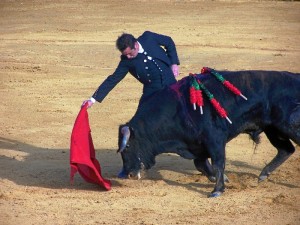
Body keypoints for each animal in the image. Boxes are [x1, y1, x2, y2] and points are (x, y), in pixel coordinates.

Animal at [117, 70, 300, 197]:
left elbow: (218, 163)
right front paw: (222, 180)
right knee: (286, 150)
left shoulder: (215, 140)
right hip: (273, 130)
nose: (129, 174)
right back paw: (263, 175)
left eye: (127, 147)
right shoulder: (196, 145)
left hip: (287, 126)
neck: (179, 109)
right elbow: (201, 164)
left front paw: (217, 190)